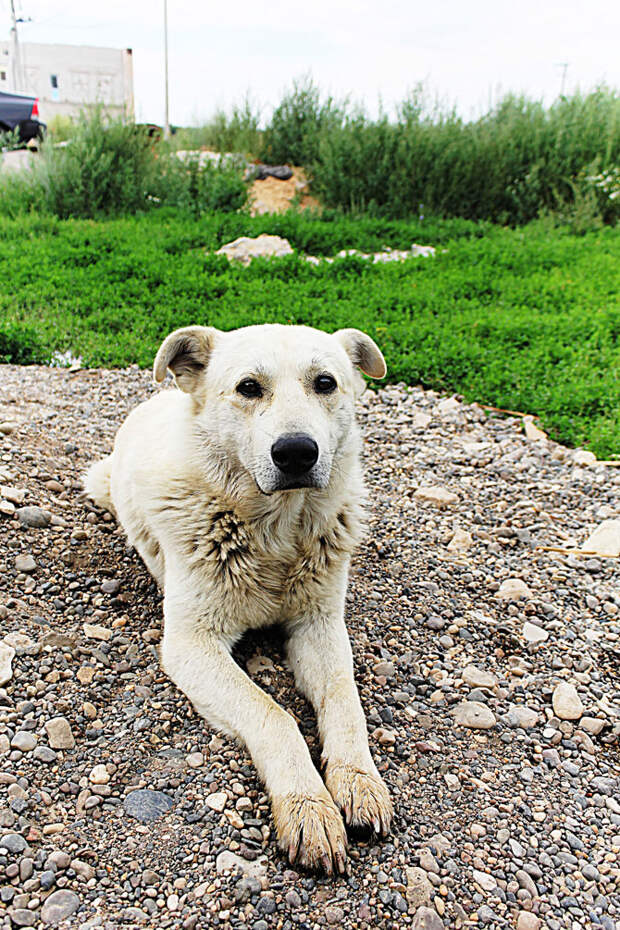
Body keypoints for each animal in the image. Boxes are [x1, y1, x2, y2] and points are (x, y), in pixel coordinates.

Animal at [83, 320, 392, 872]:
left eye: (326, 383)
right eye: (249, 387)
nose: (296, 452)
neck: (276, 533)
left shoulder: (319, 625)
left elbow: (344, 700)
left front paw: (358, 781)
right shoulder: (191, 645)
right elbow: (275, 715)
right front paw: (308, 805)